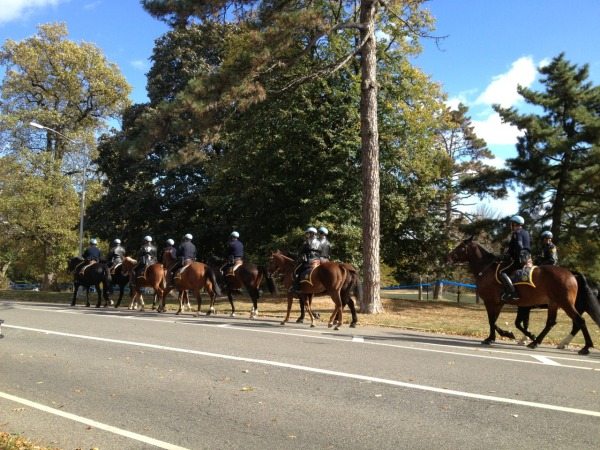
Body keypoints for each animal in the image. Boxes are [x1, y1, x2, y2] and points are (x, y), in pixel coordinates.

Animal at [446, 237, 600, 356]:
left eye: (461, 247)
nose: (448, 256)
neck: (487, 269)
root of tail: (572, 274)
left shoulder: (492, 302)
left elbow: (492, 321)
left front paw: (500, 336)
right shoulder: (503, 303)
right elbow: (500, 321)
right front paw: (508, 336)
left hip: (566, 303)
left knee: (579, 321)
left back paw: (585, 347)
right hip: (554, 303)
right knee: (552, 322)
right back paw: (536, 342)